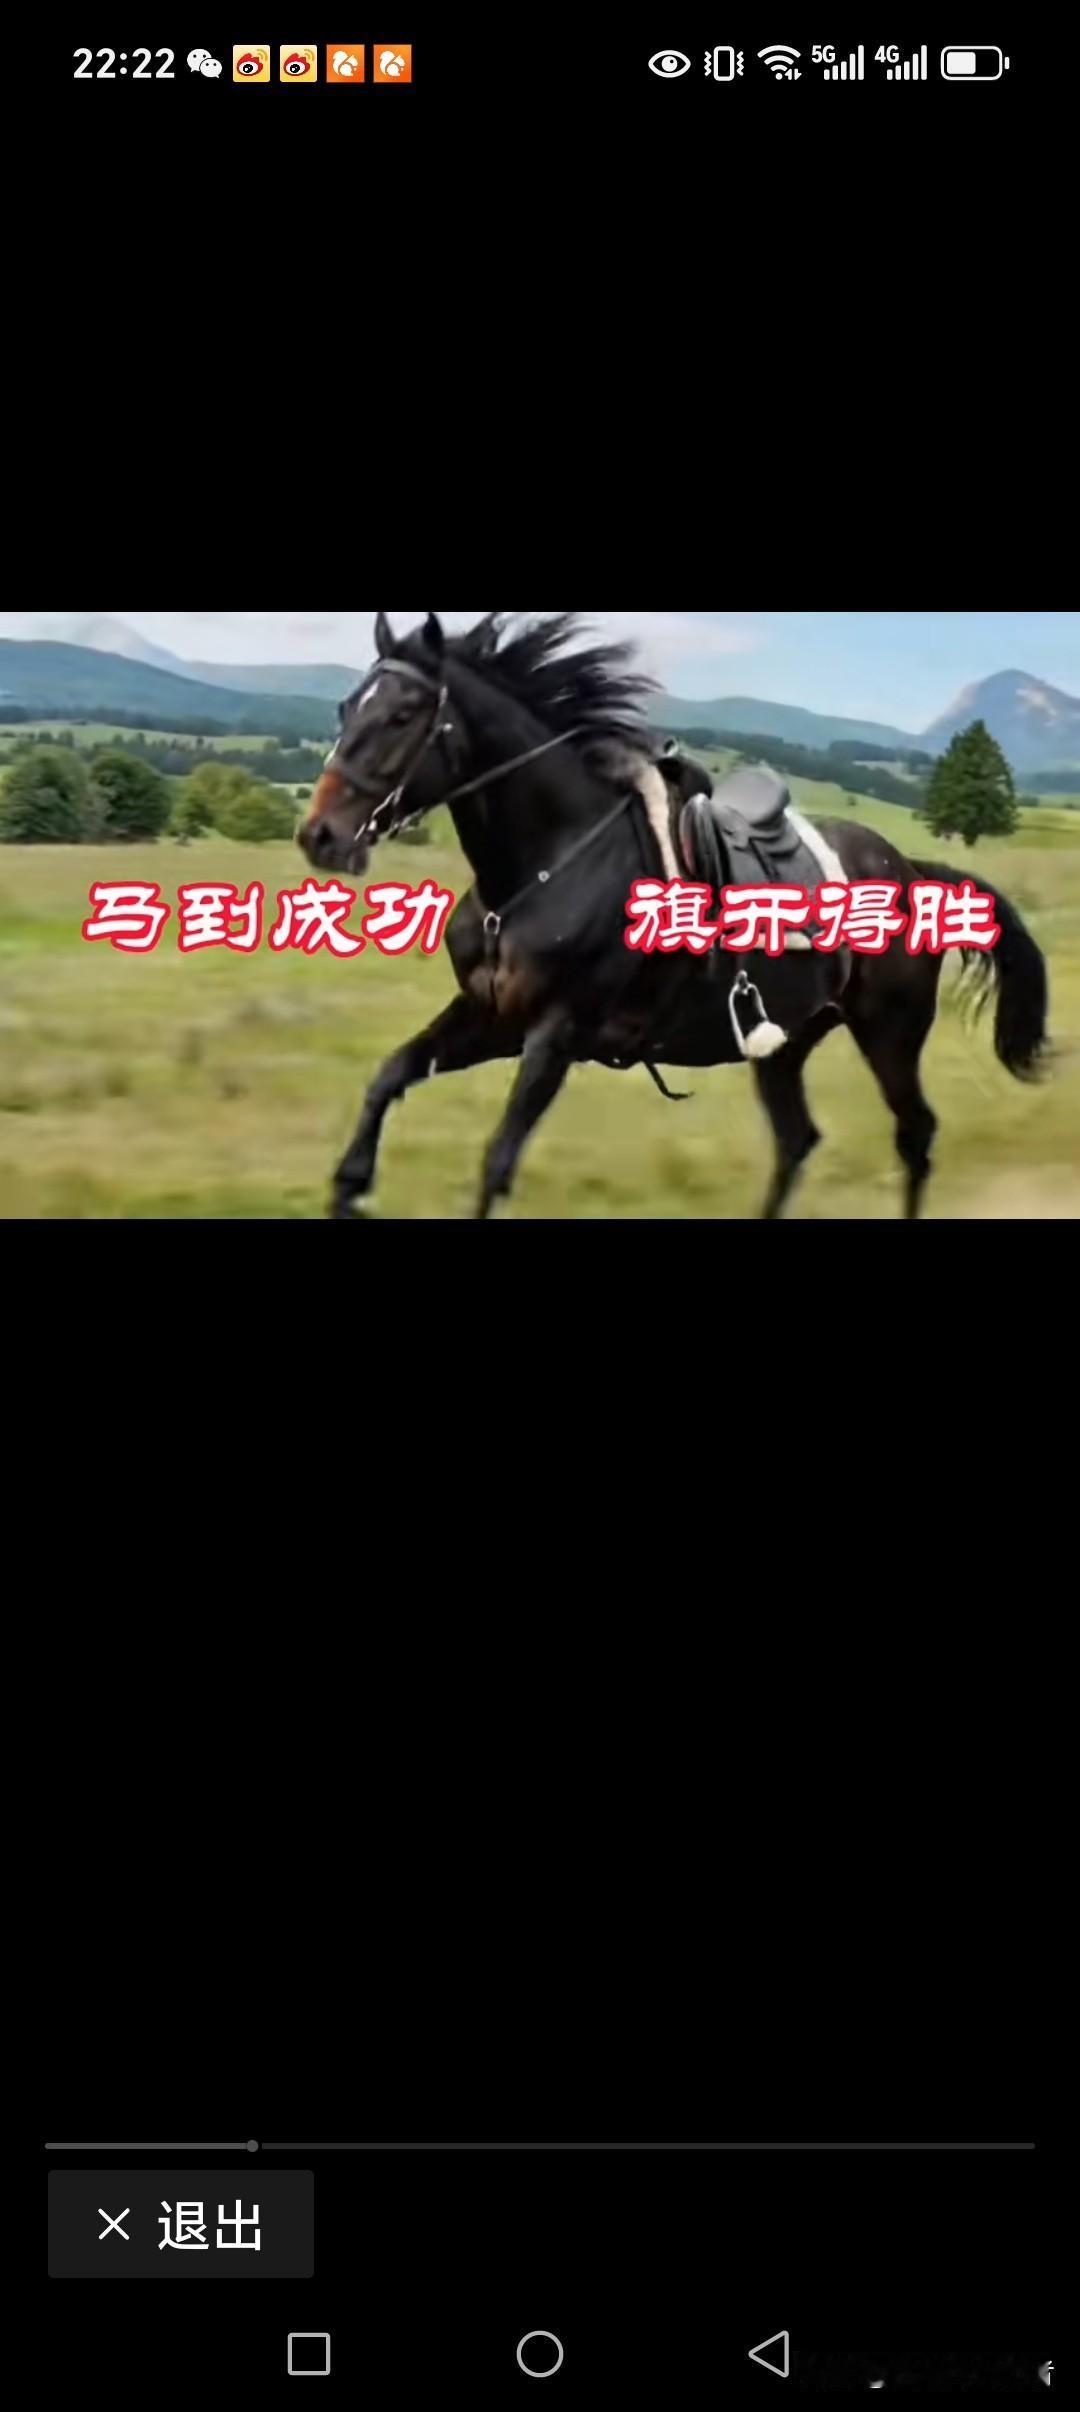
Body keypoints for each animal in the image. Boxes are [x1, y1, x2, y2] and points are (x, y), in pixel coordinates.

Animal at [298, 611, 1050, 1222]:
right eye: (346, 707)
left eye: (403, 716)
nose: (321, 837)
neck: (549, 864)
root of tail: (913, 871)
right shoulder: (491, 1016)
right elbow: (390, 1076)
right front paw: (349, 1186)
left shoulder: (553, 1034)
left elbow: (497, 1160)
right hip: (787, 1041)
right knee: (798, 1140)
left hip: (889, 1033)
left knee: (914, 1134)